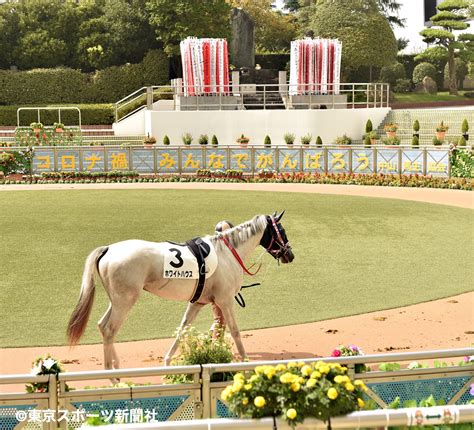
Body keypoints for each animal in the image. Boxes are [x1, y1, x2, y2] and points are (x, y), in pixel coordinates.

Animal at [67, 213, 292, 374]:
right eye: (281, 230)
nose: (290, 254)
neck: (227, 253)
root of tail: (108, 249)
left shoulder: (197, 302)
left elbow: (182, 329)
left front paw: (167, 361)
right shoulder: (226, 300)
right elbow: (235, 331)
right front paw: (245, 362)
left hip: (116, 300)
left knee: (102, 325)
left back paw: (116, 366)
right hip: (125, 301)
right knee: (109, 330)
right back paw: (112, 376)